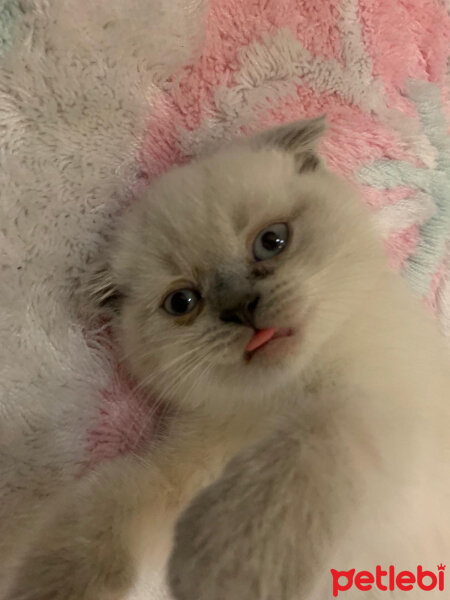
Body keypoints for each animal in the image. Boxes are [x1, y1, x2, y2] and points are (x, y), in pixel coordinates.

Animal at [8, 118, 450, 600]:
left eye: (272, 241)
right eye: (182, 302)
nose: (241, 308)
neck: (282, 395)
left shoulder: (375, 403)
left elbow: (305, 447)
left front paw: (229, 568)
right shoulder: (179, 472)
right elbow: (111, 500)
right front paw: (54, 586)